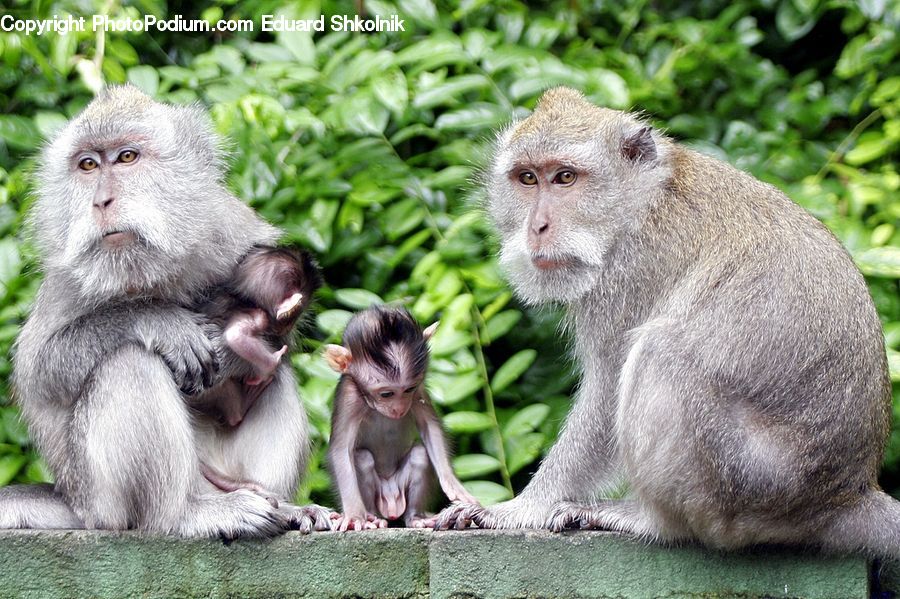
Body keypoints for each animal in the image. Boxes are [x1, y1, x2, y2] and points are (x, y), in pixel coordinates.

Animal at [0, 85, 331, 537]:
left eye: (126, 157)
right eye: (88, 165)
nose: (101, 201)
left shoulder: (228, 226)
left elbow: (279, 331)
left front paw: (230, 350)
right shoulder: (67, 271)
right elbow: (40, 371)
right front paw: (157, 319)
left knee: (276, 373)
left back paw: (283, 506)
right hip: (100, 500)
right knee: (129, 360)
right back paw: (182, 516)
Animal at [325, 305, 478, 531]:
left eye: (408, 390)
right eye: (386, 394)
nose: (399, 409)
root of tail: (391, 502)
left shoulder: (419, 390)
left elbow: (429, 426)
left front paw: (452, 483)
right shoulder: (349, 395)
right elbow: (341, 448)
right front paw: (354, 516)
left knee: (420, 455)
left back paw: (415, 517)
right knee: (362, 458)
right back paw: (372, 517)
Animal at [435, 87, 899, 559]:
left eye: (565, 178)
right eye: (528, 179)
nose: (538, 227)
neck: (642, 201)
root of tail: (844, 495)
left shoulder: (626, 276)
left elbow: (606, 391)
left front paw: (518, 510)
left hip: (746, 486)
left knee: (661, 352)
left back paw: (653, 521)